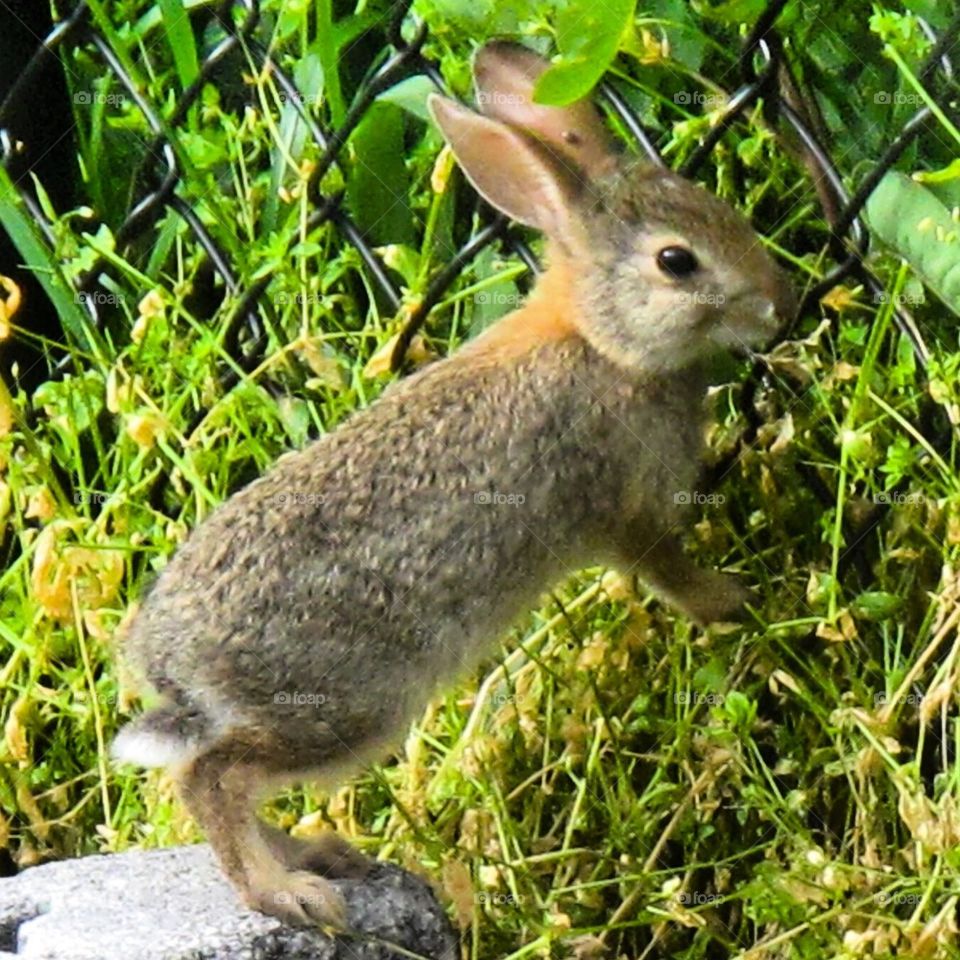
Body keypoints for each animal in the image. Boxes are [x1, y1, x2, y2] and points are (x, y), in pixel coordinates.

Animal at [112, 40, 795, 931]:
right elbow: (664, 567)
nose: (779, 303)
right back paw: (291, 893)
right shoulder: (626, 507)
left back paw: (313, 855)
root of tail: (165, 658)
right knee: (212, 777)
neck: (602, 343)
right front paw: (732, 600)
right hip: (345, 702)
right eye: (676, 261)